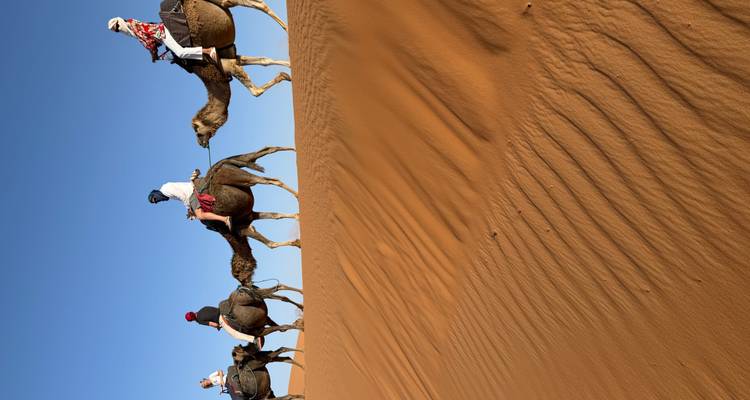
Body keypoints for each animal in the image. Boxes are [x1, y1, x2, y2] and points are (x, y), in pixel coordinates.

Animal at [182, 0, 291, 147]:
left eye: (197, 131)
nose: (201, 144)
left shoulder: (226, 65)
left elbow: (255, 92)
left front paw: (285, 75)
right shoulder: (232, 59)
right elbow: (264, 60)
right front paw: (289, 67)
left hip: (224, 2)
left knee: (260, 5)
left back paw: (287, 28)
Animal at [193, 146, 300, 285]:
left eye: (239, 272)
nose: (246, 283)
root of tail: (219, 165)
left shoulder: (241, 230)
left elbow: (270, 244)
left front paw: (297, 242)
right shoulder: (250, 216)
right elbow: (276, 217)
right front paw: (298, 218)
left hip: (242, 177)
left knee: (271, 180)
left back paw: (297, 194)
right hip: (240, 170)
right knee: (264, 153)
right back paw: (292, 150)